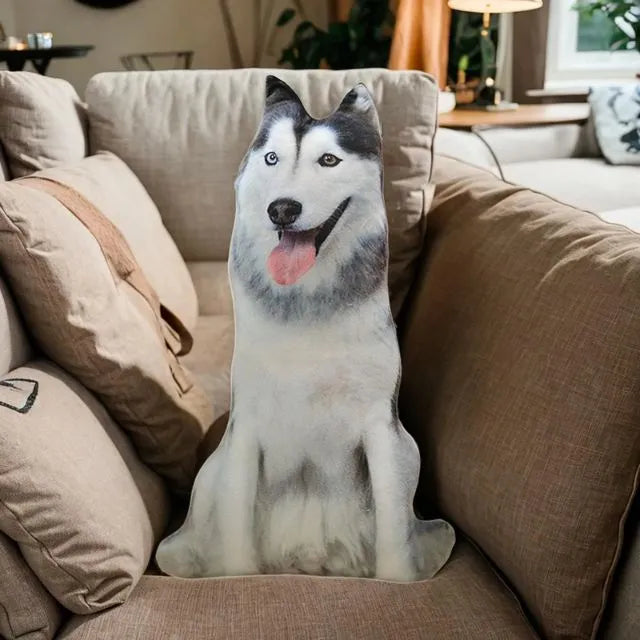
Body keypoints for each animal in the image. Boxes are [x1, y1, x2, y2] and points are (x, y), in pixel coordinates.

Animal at [156, 75, 455, 581]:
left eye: (329, 160)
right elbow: (237, 547)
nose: (282, 209)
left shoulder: (381, 430)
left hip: (409, 450)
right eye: (272, 158)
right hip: (210, 480)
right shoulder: (245, 431)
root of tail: (308, 556)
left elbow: (395, 541)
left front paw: (398, 579)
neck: (307, 305)